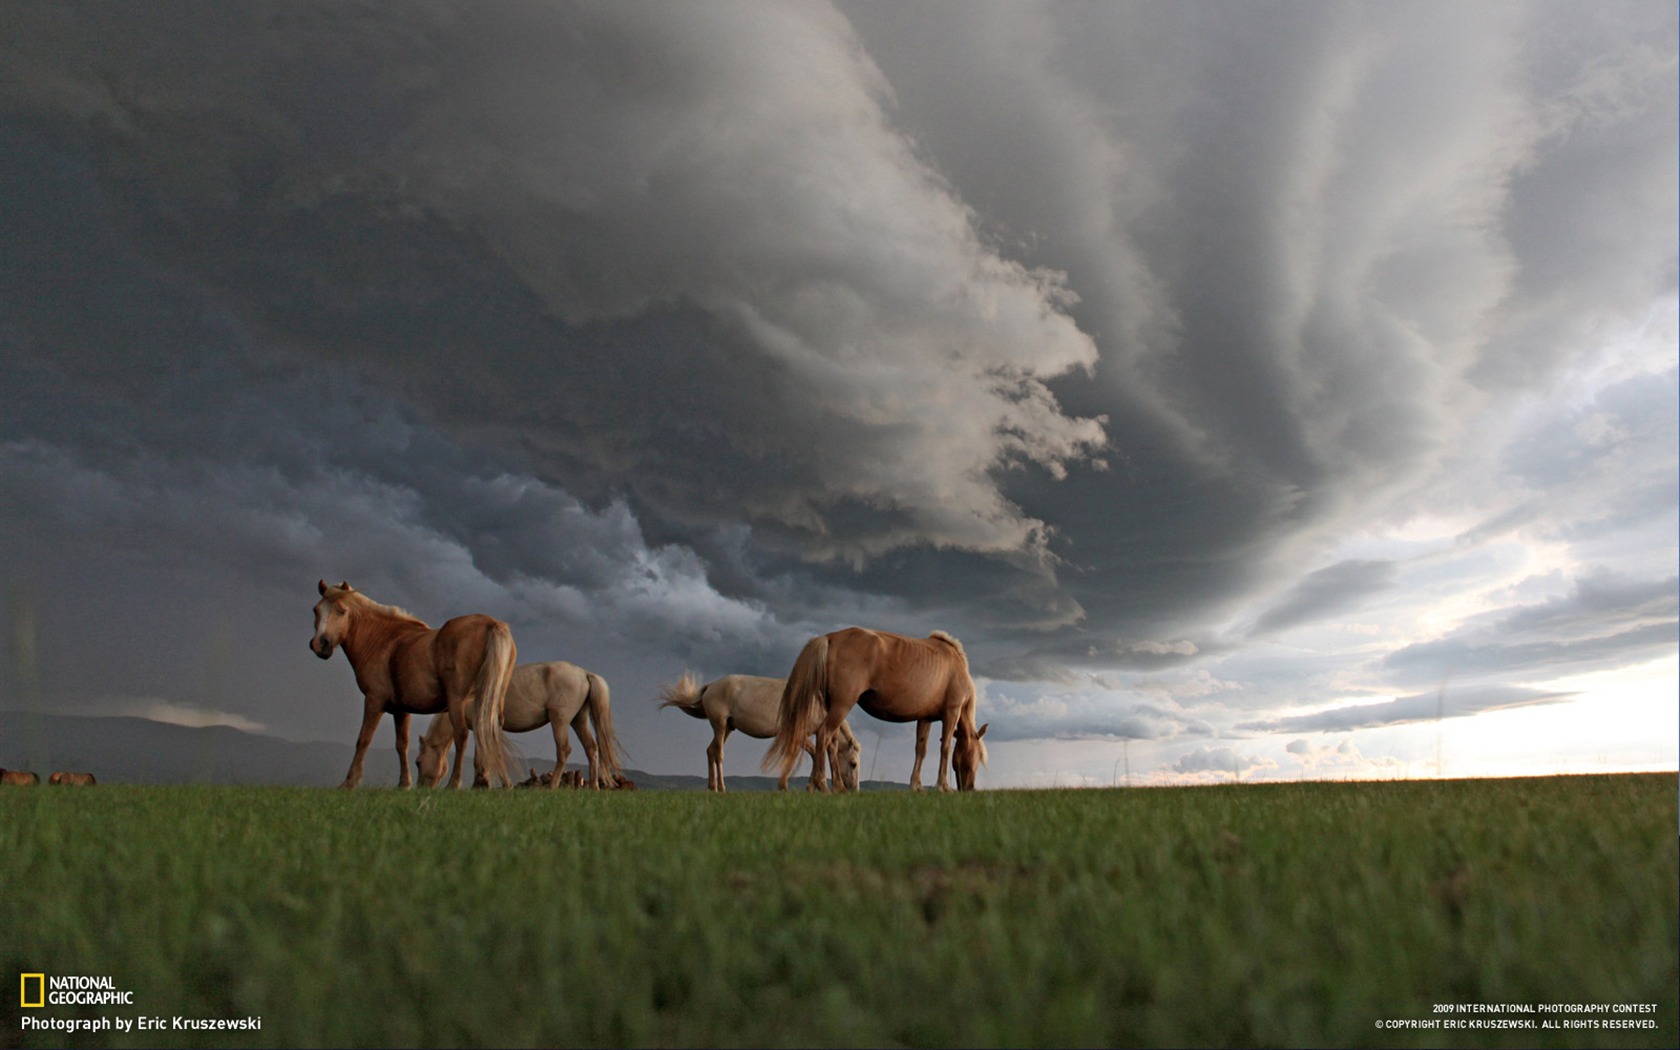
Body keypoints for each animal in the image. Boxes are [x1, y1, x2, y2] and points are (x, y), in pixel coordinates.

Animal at [309, 581, 514, 786]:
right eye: (316, 610)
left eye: (341, 611)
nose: (320, 644)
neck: (383, 640)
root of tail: (491, 624)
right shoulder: (401, 710)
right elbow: (402, 745)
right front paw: (404, 784)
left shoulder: (374, 701)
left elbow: (364, 739)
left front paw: (350, 782)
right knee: (491, 733)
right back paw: (502, 784)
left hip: (458, 701)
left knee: (462, 735)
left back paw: (454, 784)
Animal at [416, 658, 628, 789]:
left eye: (418, 762)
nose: (420, 788)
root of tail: (584, 673)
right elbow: (481, 757)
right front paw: (481, 783)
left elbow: (491, 755)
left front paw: (502, 784)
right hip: (579, 720)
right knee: (591, 748)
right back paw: (594, 787)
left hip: (560, 721)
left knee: (564, 750)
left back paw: (553, 786)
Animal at [655, 675, 860, 789]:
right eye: (853, 764)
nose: (853, 790)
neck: (814, 703)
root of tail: (712, 686)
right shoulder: (798, 735)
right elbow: (810, 755)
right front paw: (792, 786)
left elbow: (812, 755)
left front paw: (809, 786)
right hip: (719, 725)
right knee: (718, 754)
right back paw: (722, 787)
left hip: (727, 728)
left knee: (711, 751)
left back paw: (712, 787)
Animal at [769, 624, 987, 789]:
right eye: (977, 756)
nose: (969, 788)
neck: (957, 666)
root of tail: (830, 638)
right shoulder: (951, 712)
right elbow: (945, 747)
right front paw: (943, 786)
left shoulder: (924, 717)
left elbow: (921, 749)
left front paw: (916, 785)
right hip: (842, 705)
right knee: (823, 735)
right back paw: (821, 784)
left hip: (831, 706)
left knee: (831, 743)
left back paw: (834, 786)